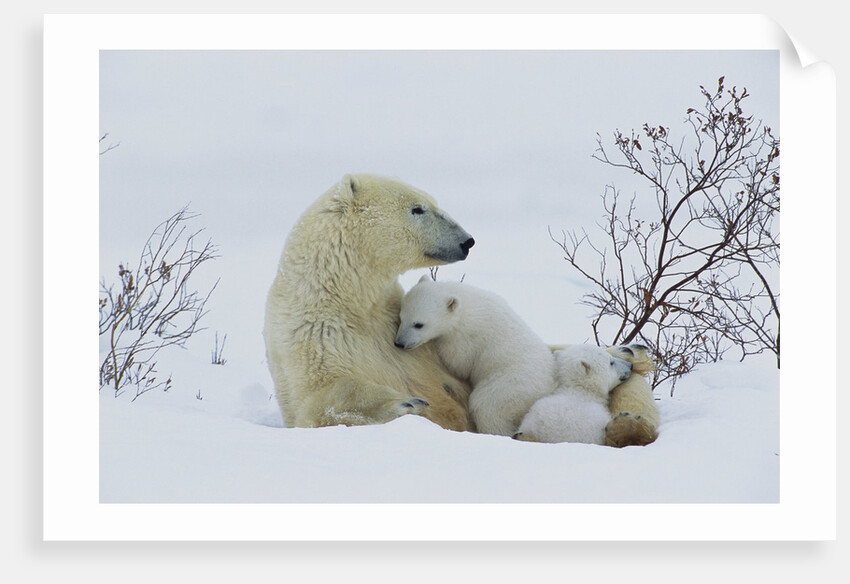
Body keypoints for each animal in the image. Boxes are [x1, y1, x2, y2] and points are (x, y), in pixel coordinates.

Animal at [263, 174, 476, 430]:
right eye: (417, 209)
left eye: (433, 203)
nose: (467, 241)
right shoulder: (313, 333)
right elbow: (318, 397)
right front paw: (407, 403)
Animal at [394, 276, 558, 437]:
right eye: (402, 317)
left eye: (418, 324)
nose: (399, 343)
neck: (466, 303)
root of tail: (546, 388)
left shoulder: (468, 335)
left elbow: (459, 363)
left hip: (510, 384)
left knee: (487, 407)